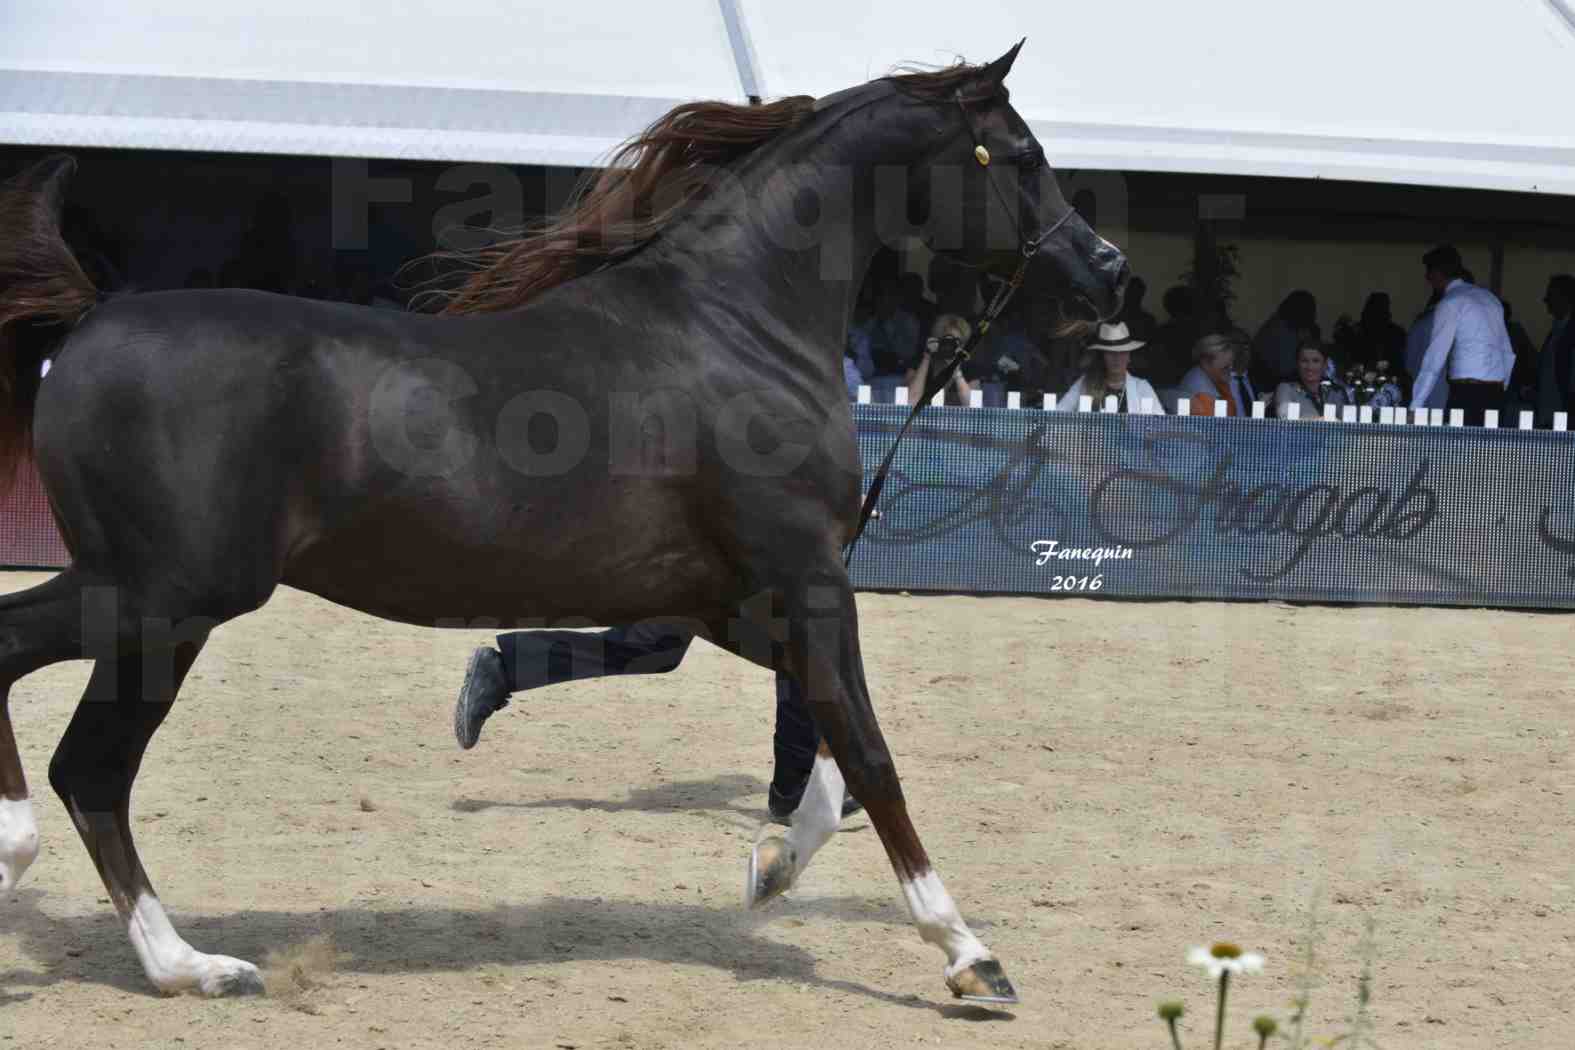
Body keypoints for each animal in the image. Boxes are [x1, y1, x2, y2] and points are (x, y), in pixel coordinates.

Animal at [0, 43, 1121, 1001]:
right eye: (1024, 156)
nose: (1104, 271)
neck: (736, 327)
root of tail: (90, 319)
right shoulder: (806, 580)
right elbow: (871, 753)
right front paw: (969, 955)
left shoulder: (728, 599)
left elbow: (830, 753)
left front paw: (770, 868)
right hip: (169, 601)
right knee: (83, 758)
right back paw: (166, 948)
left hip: (141, 597)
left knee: (47, 709)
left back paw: (121, 926)